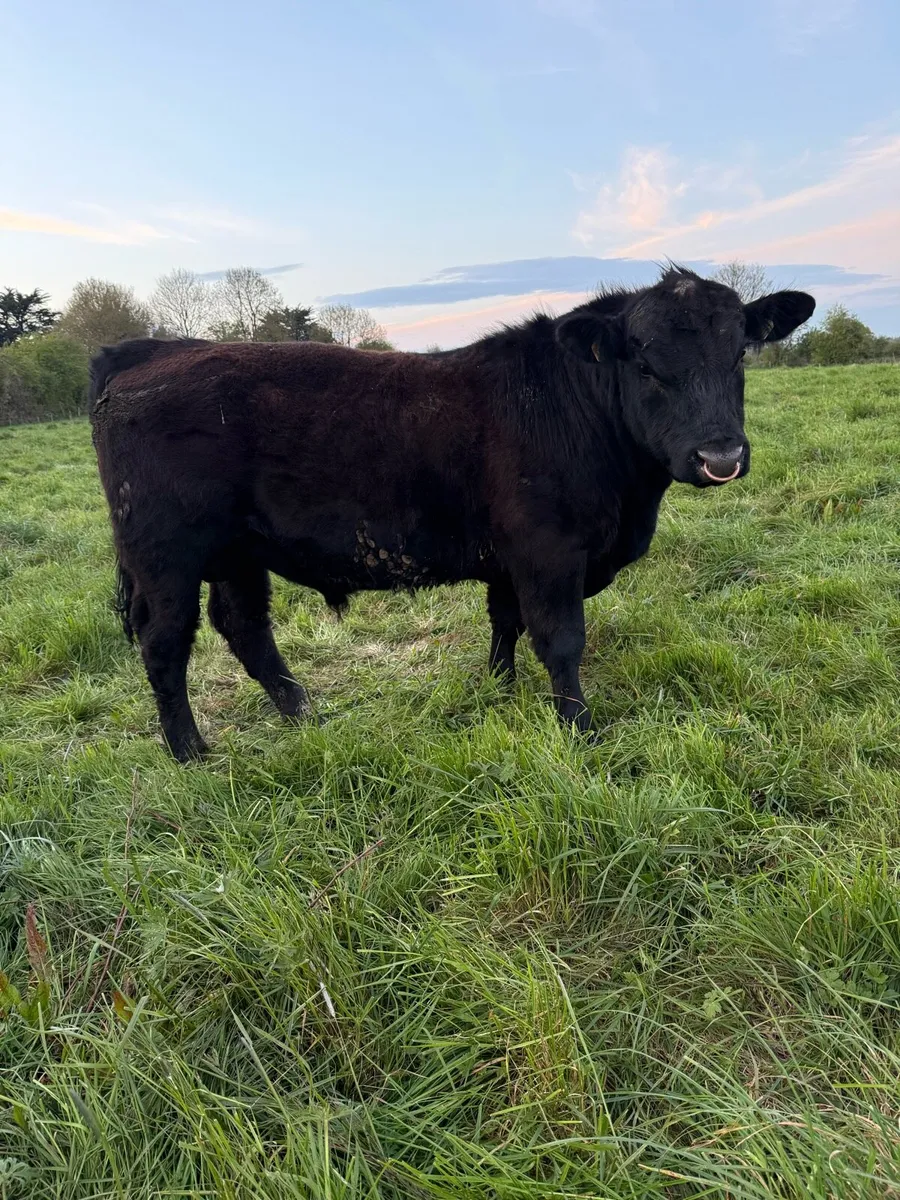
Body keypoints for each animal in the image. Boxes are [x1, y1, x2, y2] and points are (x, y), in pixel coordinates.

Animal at [90, 267, 814, 761]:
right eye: (643, 361)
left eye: (740, 352)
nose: (720, 455)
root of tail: (154, 348)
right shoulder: (548, 551)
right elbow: (560, 639)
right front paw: (578, 729)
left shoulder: (511, 559)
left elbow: (505, 624)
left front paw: (497, 692)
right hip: (164, 556)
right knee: (165, 642)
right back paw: (190, 751)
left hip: (239, 553)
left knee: (244, 628)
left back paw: (304, 716)